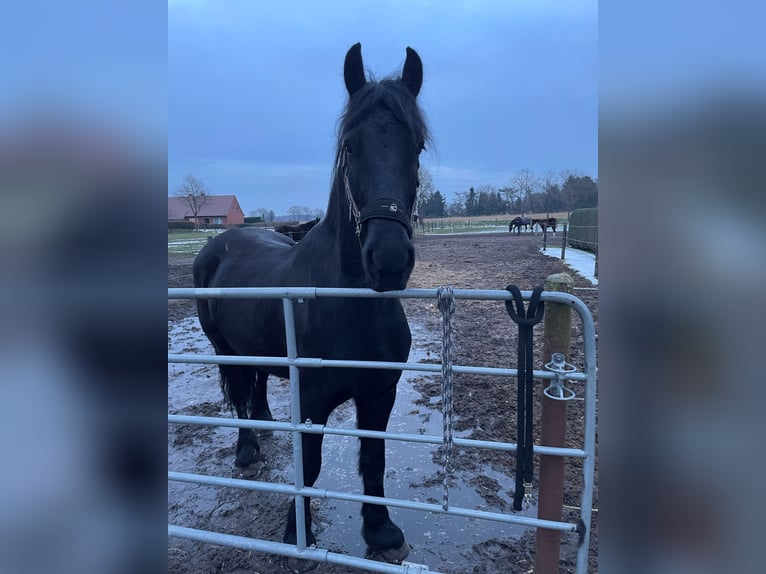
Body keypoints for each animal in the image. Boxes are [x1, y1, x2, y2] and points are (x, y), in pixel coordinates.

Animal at [192, 44, 428, 564]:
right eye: (350, 147)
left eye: (417, 147)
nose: (388, 260)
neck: (351, 305)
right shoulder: (314, 402)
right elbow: (312, 467)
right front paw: (295, 535)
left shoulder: (380, 393)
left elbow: (374, 460)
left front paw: (381, 531)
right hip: (223, 348)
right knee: (238, 391)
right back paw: (247, 449)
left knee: (258, 381)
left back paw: (265, 421)